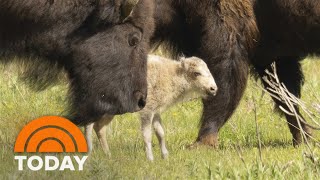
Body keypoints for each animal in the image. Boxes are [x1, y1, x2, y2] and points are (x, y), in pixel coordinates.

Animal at [85, 54, 218, 160]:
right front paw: (150, 158)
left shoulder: (156, 111)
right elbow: (147, 134)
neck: (172, 74)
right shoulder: (147, 111)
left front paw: (165, 156)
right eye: (197, 73)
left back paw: (108, 155)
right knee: (89, 125)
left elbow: (160, 133)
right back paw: (89, 152)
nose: (213, 88)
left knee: (99, 128)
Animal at [148, 0, 320, 146]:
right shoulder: (270, 54)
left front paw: (203, 142)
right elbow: (285, 97)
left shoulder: (228, 33)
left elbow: (224, 84)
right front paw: (302, 139)